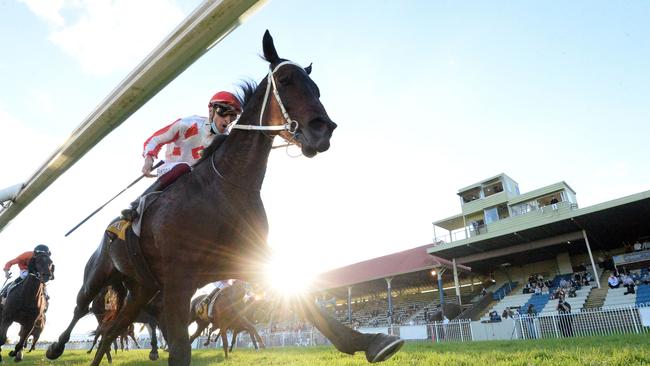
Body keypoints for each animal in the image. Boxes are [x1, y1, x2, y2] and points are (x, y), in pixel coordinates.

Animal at [46, 31, 400, 366]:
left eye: (316, 88)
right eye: (287, 80)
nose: (322, 129)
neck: (226, 187)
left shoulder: (250, 260)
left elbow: (305, 301)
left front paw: (370, 341)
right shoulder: (178, 279)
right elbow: (180, 349)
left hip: (141, 288)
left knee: (112, 330)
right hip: (99, 275)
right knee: (80, 309)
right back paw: (55, 346)